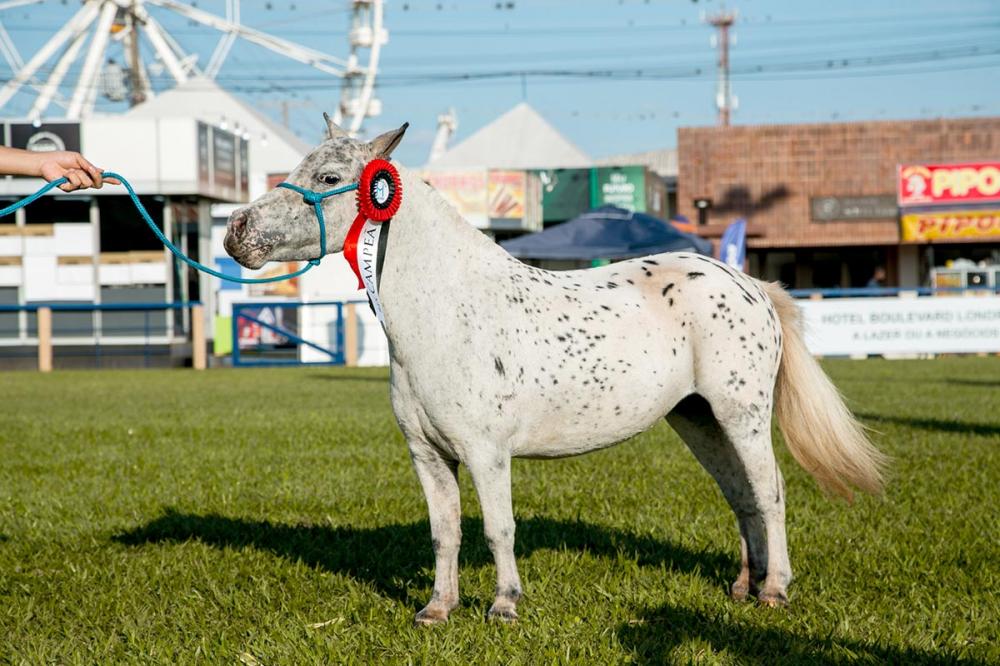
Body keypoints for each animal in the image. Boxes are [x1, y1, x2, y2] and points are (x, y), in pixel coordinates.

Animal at [224, 116, 886, 625]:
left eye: (330, 179)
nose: (237, 231)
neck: (448, 309)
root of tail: (748, 284)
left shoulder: (487, 453)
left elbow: (498, 529)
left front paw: (504, 606)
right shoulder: (428, 455)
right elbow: (445, 532)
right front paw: (438, 609)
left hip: (741, 415)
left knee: (770, 494)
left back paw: (774, 591)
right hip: (700, 420)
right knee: (742, 496)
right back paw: (744, 588)